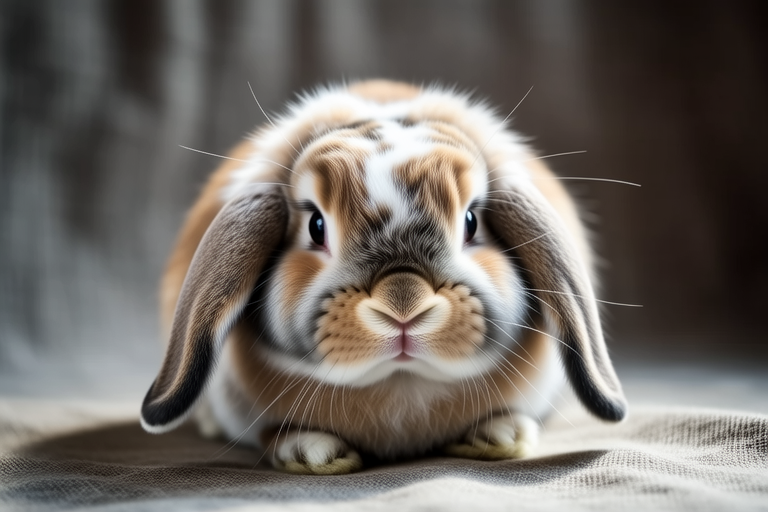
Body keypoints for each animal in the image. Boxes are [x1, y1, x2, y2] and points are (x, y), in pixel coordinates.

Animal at [140, 79, 627, 475]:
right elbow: (271, 434)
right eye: (316, 225)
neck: (401, 385)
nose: (403, 302)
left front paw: (504, 434)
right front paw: (310, 452)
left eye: (471, 221)